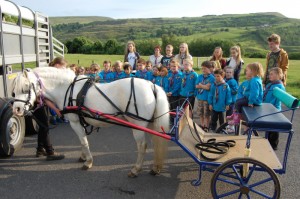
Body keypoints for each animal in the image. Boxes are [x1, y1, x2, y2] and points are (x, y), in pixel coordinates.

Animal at [11, 67, 170, 177]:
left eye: (26, 88)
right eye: (14, 91)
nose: (16, 109)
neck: (67, 89)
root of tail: (151, 85)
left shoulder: (75, 122)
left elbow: (83, 141)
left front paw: (88, 162)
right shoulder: (80, 122)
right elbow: (83, 140)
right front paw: (83, 157)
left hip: (138, 125)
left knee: (142, 146)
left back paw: (136, 169)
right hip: (150, 123)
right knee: (156, 142)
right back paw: (155, 167)